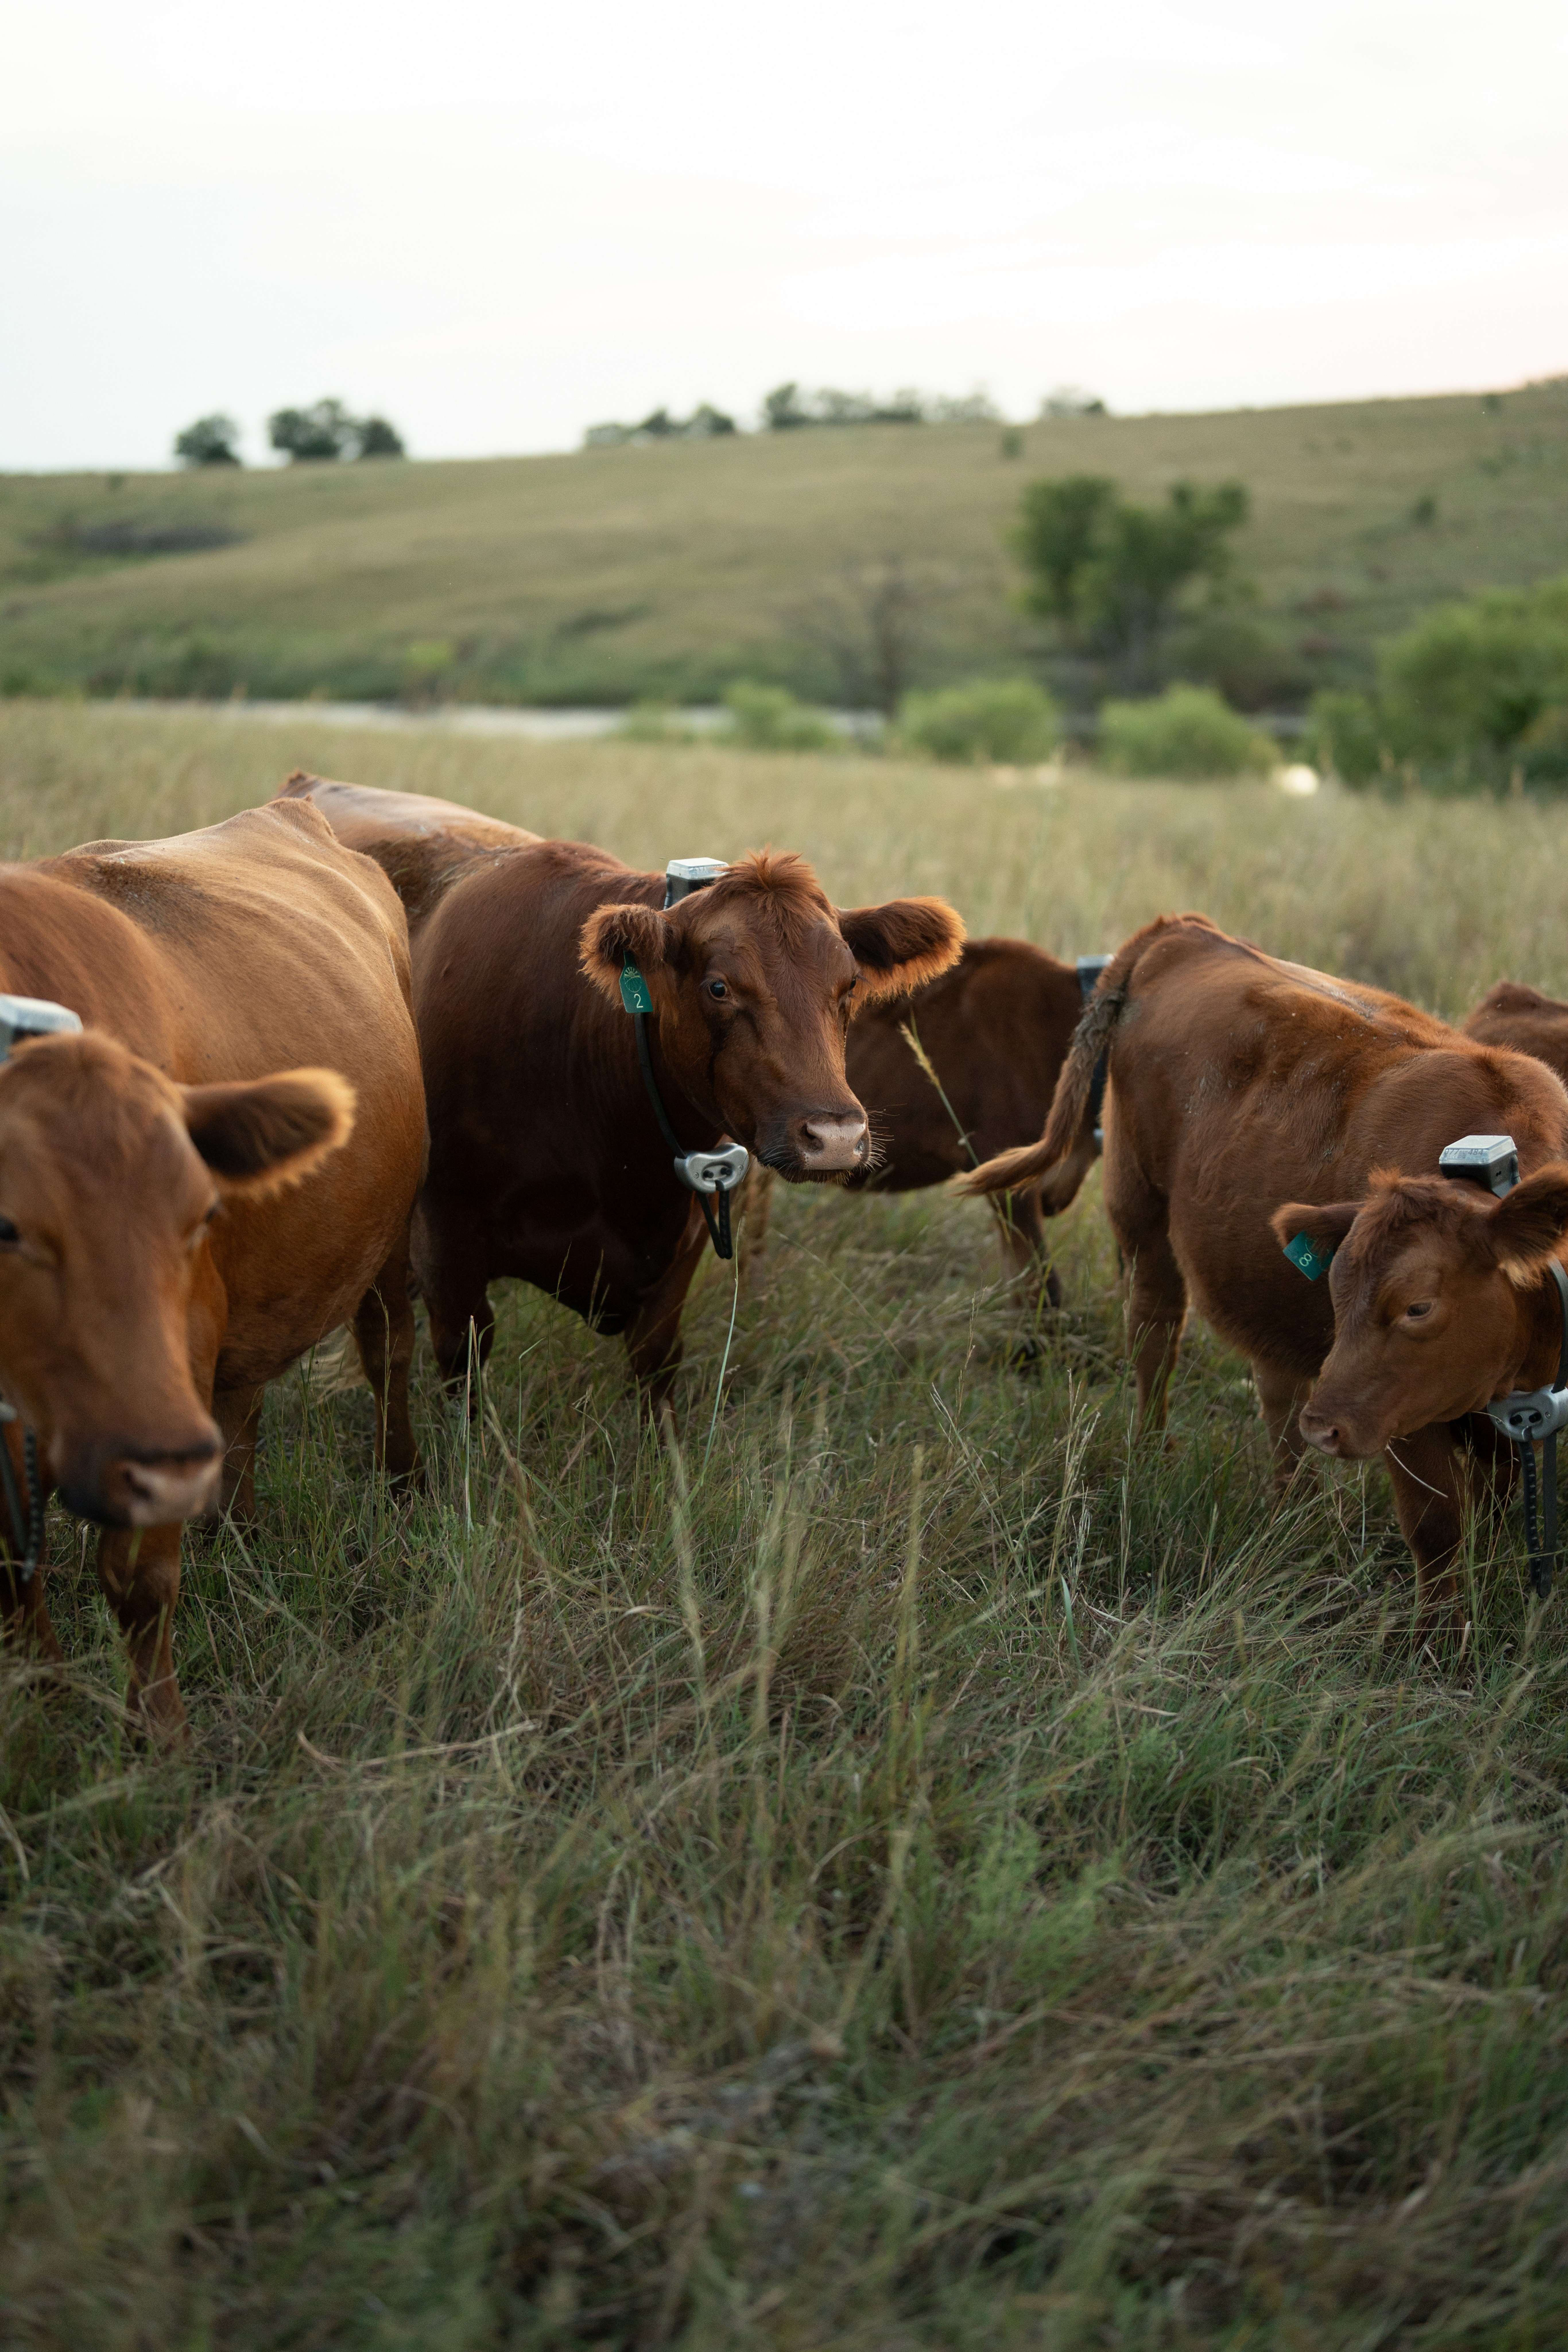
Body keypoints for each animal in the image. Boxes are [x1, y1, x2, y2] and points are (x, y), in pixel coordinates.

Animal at [0, 797, 427, 1734]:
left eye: (197, 1214)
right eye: (6, 1227)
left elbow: (136, 1578)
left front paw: (158, 1732)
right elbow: (15, 1573)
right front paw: (45, 1700)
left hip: (392, 1239)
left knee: (390, 1355)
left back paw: (403, 1484)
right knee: (245, 1408)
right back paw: (236, 1530)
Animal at [277, 773, 965, 1411]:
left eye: (849, 986)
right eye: (718, 987)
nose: (835, 1138)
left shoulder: (685, 1234)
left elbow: (657, 1365)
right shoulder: (446, 1242)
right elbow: (462, 1366)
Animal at [959, 911, 1568, 1621]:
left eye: (1418, 1306)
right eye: (1337, 1295)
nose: (1327, 1427)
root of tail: (1185, 931)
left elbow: (1494, 1515)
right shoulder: (1405, 1420)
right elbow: (1437, 1532)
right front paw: (1436, 1637)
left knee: (1275, 1390)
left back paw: (1291, 1508)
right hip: (1139, 1213)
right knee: (1153, 1338)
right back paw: (1153, 1456)